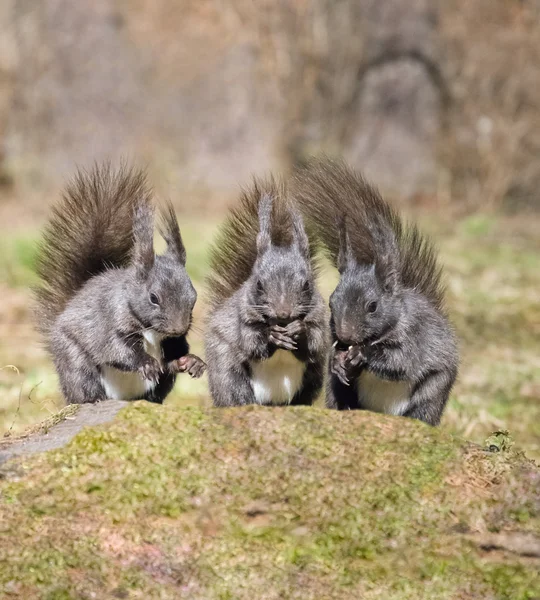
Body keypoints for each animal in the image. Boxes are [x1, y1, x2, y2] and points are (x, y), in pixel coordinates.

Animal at [34, 163, 206, 404]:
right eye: (153, 298)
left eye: (194, 297)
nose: (178, 328)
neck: (152, 331)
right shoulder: (109, 323)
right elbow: (118, 349)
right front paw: (146, 363)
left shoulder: (170, 341)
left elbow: (170, 360)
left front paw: (191, 361)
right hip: (75, 362)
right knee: (83, 384)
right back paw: (94, 399)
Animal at [204, 176, 326, 406]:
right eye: (259, 283)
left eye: (307, 284)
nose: (284, 313)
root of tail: (272, 401)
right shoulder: (244, 319)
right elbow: (252, 343)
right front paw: (272, 336)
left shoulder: (319, 319)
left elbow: (315, 342)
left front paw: (299, 329)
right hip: (228, 374)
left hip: (313, 378)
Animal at [294, 157, 458, 424]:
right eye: (331, 303)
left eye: (373, 306)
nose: (346, 336)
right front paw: (338, 361)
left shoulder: (415, 338)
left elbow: (400, 362)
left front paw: (363, 355)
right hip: (336, 390)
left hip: (433, 392)